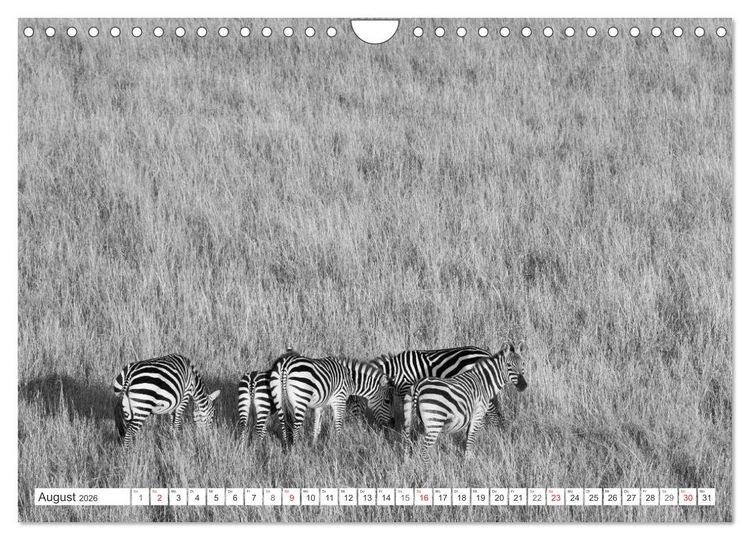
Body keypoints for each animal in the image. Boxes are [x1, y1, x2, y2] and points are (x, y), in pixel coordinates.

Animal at [372, 345, 510, 433]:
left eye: (387, 401)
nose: (390, 425)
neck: (396, 372)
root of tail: (487, 354)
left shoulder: (407, 388)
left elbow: (410, 413)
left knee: (493, 413)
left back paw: (494, 432)